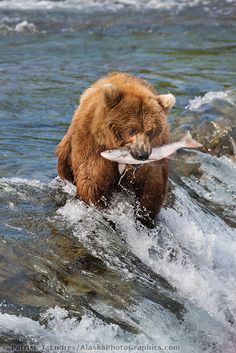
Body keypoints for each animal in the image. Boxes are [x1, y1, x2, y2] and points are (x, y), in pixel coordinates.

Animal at [56, 72, 175, 227]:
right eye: (132, 129)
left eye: (151, 131)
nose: (142, 154)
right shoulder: (93, 144)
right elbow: (92, 179)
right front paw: (100, 207)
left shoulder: (151, 161)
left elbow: (152, 185)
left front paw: (144, 216)